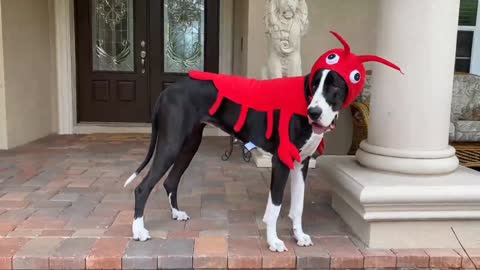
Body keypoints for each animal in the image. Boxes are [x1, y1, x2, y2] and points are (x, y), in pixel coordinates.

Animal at [123, 68, 348, 252]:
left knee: (170, 181)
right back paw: (138, 231)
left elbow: (298, 206)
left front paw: (299, 236)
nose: (314, 112)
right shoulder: (281, 163)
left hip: (189, 146)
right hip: (171, 144)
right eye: (314, 86)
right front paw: (274, 241)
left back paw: (177, 213)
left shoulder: (302, 165)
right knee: (142, 188)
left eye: (334, 86)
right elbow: (274, 207)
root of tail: (166, 92)